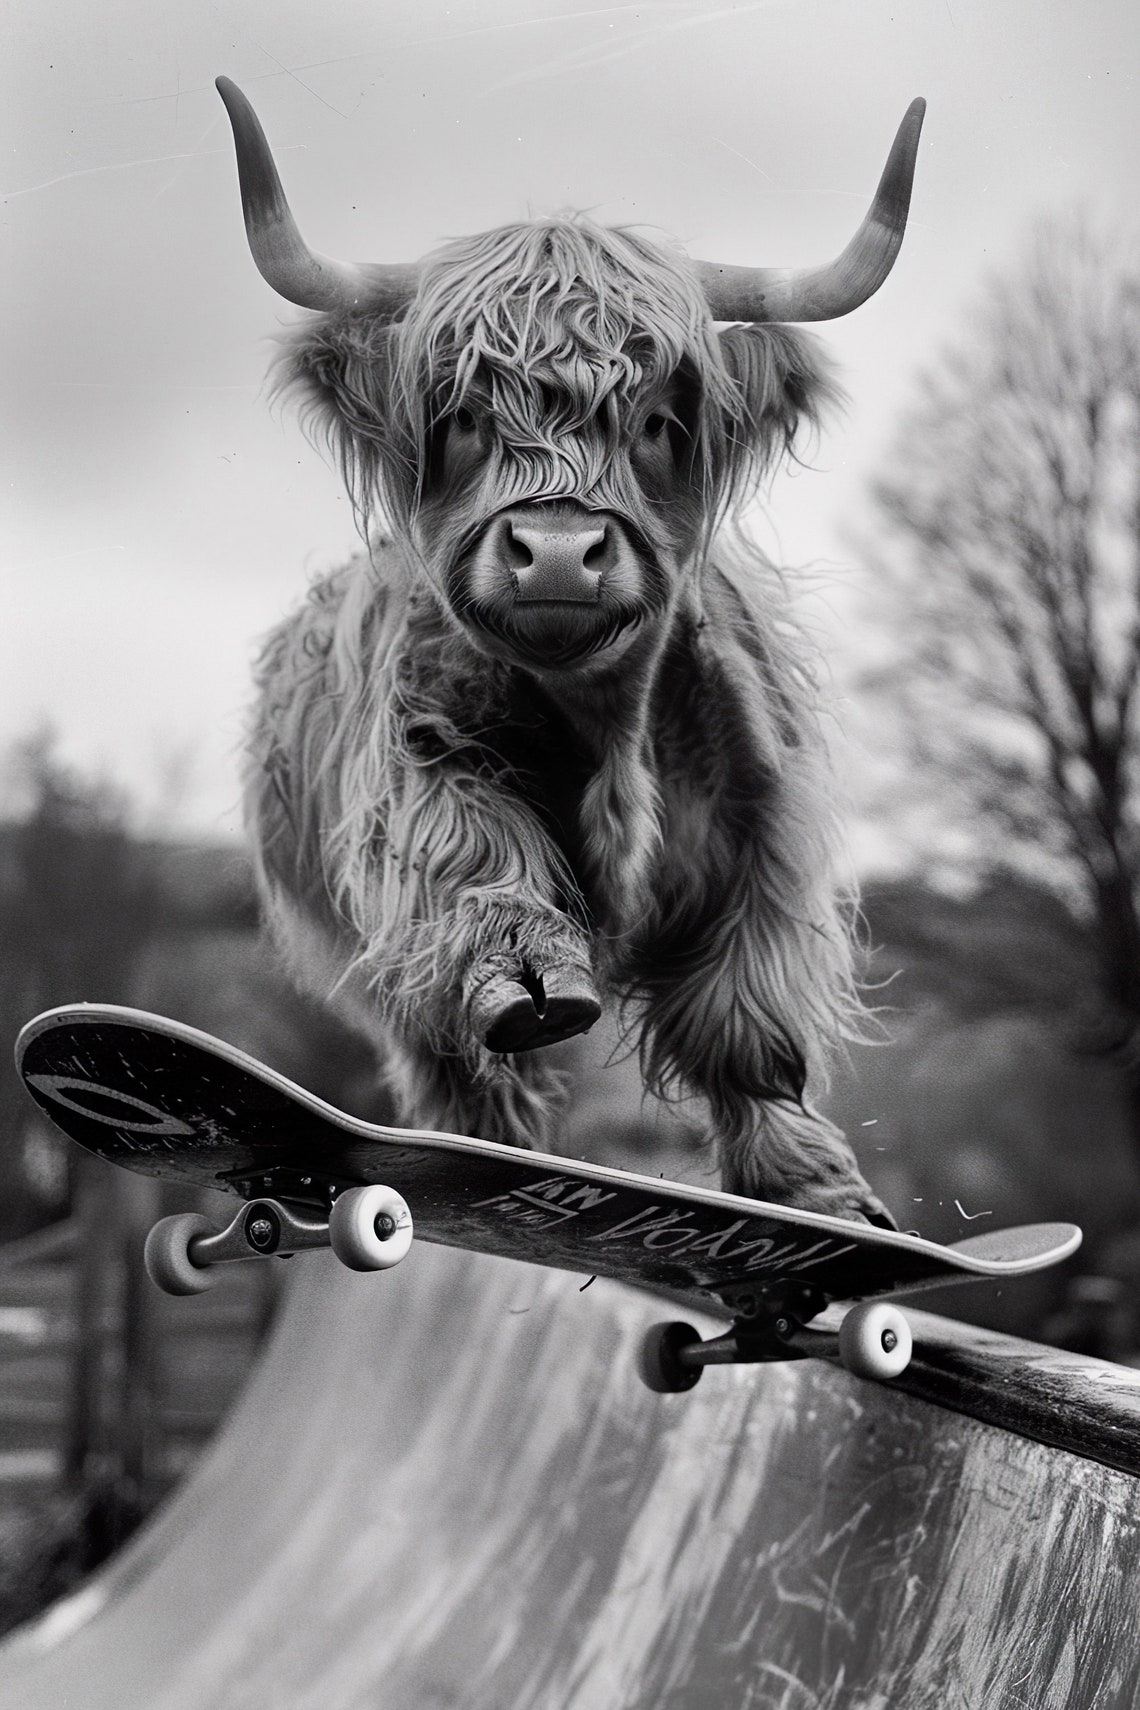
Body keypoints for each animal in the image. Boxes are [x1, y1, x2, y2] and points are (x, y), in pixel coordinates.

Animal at [217, 78, 924, 1223]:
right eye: (461, 416)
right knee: (457, 1075)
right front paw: (532, 980)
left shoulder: (761, 824)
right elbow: (476, 866)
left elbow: (747, 1024)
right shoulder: (419, 767)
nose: (554, 551)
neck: (609, 725)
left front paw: (818, 1197)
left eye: (657, 420)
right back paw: (475, 1169)